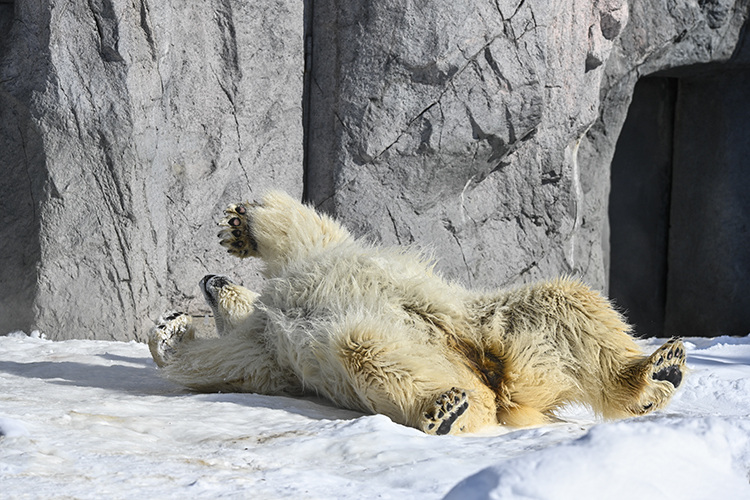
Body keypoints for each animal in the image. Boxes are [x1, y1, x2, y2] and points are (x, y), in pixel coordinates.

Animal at [150, 190, 692, 434]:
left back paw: (657, 369)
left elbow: (303, 229)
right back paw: (447, 407)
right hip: (474, 347)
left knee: (565, 303)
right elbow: (223, 366)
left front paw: (239, 226)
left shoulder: (313, 262)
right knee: (368, 348)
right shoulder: (270, 352)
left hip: (486, 320)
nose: (209, 280)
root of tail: (501, 386)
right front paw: (168, 329)